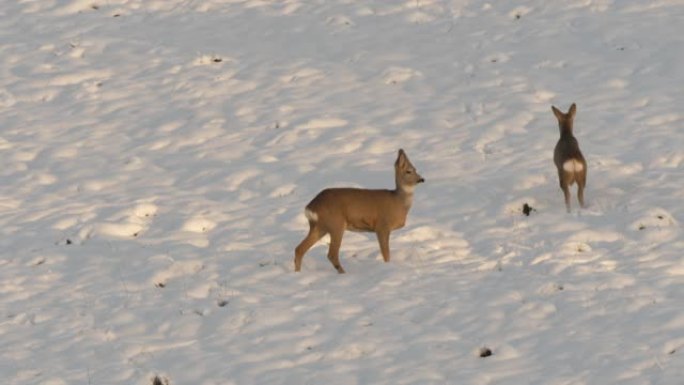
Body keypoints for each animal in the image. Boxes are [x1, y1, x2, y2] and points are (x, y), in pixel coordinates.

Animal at [292, 148, 422, 272]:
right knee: (331, 254)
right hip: (336, 224)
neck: (398, 202)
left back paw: (298, 273)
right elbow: (386, 254)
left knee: (299, 249)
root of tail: (310, 206)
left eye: (416, 169)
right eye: (408, 171)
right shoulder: (382, 226)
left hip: (319, 227)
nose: (421, 179)